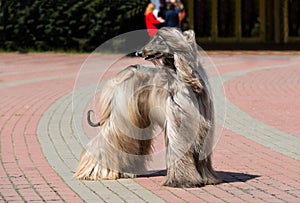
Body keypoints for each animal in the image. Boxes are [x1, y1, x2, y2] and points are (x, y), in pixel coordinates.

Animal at [74, 27, 220, 187]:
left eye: (160, 40)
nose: (139, 52)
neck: (186, 79)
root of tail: (123, 74)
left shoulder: (201, 125)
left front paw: (207, 178)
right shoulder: (178, 123)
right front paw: (183, 180)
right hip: (123, 119)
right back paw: (94, 171)